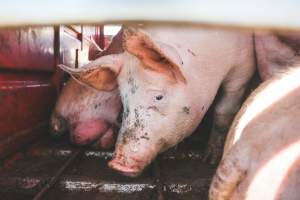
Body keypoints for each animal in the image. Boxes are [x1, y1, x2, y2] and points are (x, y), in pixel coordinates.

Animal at [59, 25, 255, 177]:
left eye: (158, 96)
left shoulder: (242, 68)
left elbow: (224, 111)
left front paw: (210, 159)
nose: (118, 164)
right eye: (124, 99)